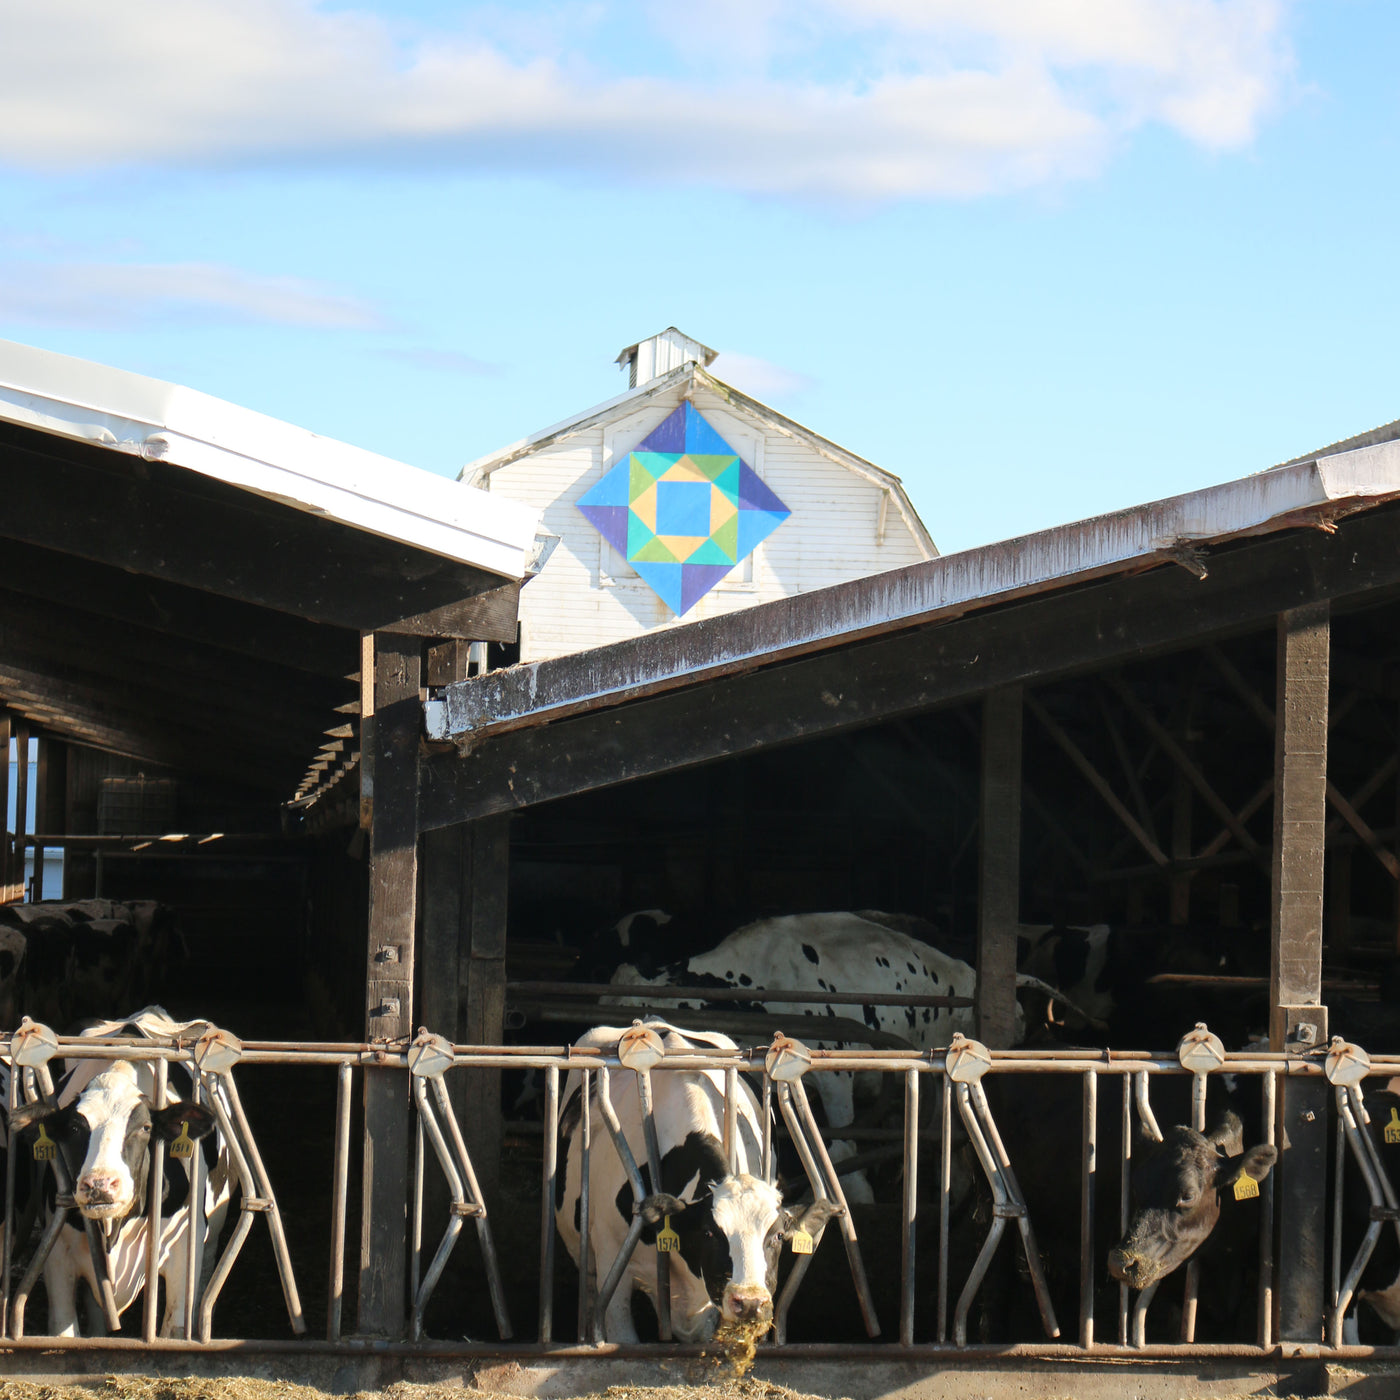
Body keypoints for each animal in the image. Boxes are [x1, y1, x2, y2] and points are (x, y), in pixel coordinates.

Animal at [8, 1008, 229, 1332]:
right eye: (73, 1128)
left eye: (145, 1127)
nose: (100, 1184)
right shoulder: (57, 1257)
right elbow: (65, 1326)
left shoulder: (183, 1248)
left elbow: (174, 1326)